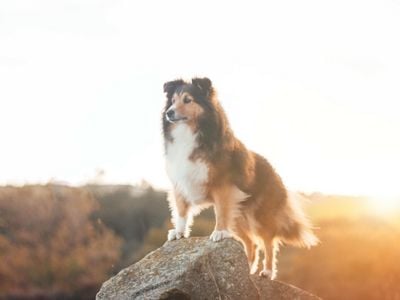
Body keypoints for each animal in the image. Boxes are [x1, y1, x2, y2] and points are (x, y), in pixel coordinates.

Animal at [161, 77, 318, 278]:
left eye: (188, 100)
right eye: (172, 101)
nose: (169, 113)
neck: (190, 132)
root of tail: (275, 171)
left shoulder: (222, 186)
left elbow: (220, 213)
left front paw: (219, 232)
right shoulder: (180, 183)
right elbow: (181, 211)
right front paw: (179, 233)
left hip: (259, 215)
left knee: (268, 242)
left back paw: (267, 272)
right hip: (238, 215)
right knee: (251, 243)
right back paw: (248, 270)